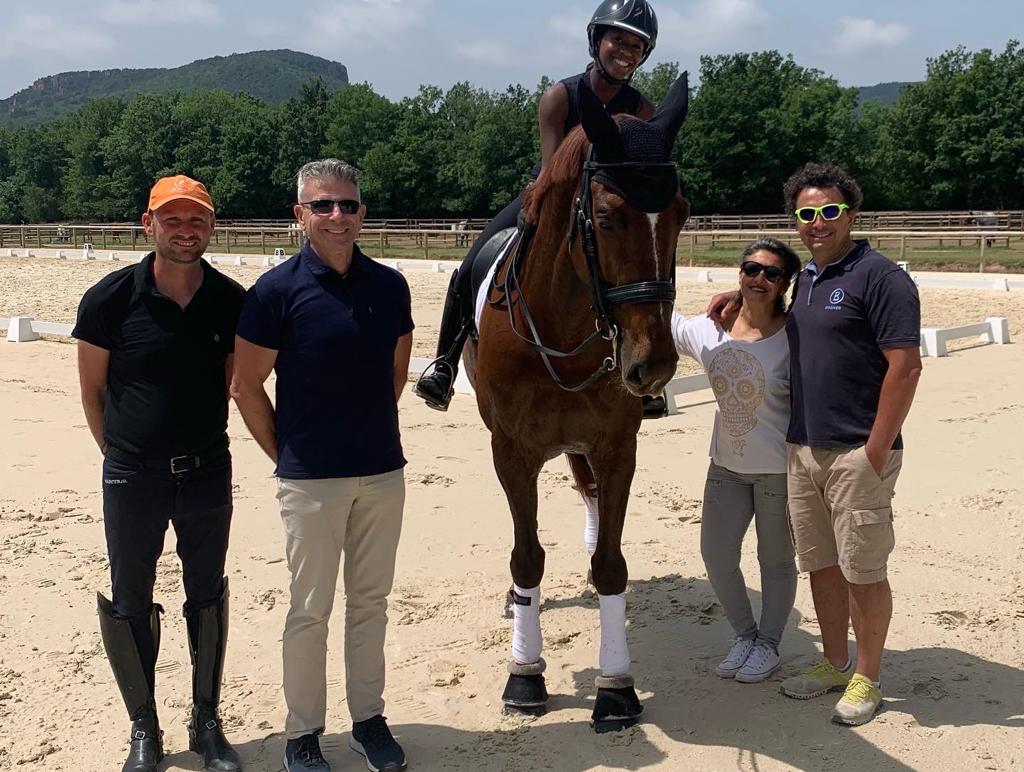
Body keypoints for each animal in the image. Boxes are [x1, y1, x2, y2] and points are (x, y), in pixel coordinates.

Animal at [462, 72, 688, 728]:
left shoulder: (616, 446)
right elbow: (527, 556)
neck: (562, 332)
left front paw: (615, 686)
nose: (653, 366)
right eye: (608, 219)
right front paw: (524, 676)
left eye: (682, 215)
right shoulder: (512, 452)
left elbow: (611, 563)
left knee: (588, 498)